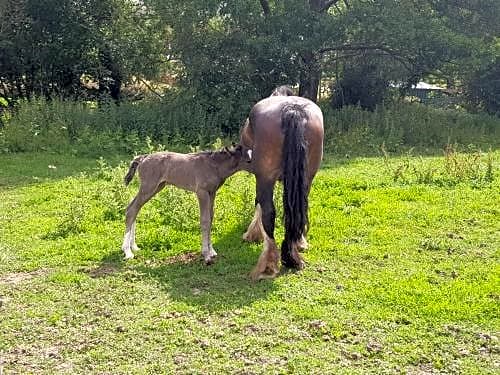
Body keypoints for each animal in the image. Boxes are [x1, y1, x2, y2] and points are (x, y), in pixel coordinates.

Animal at [239, 93, 324, 282]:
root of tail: (293, 109)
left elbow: (258, 204)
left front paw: (253, 234)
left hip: (265, 178)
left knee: (268, 213)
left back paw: (268, 265)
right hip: (307, 177)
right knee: (299, 211)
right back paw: (294, 252)